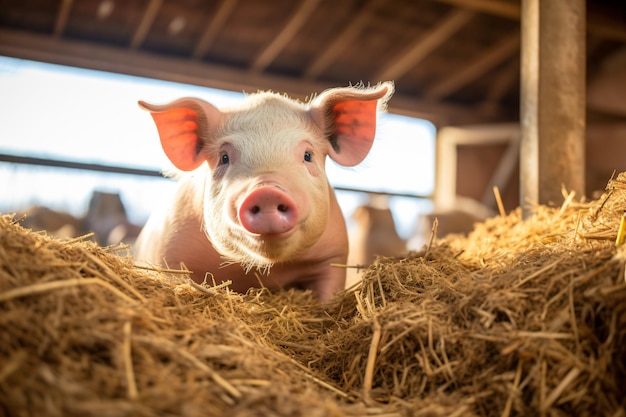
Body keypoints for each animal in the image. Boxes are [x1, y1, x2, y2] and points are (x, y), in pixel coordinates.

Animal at [134, 82, 392, 302]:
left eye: (307, 155)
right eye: (224, 158)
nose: (266, 191)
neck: (264, 270)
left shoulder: (333, 257)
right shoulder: (170, 253)